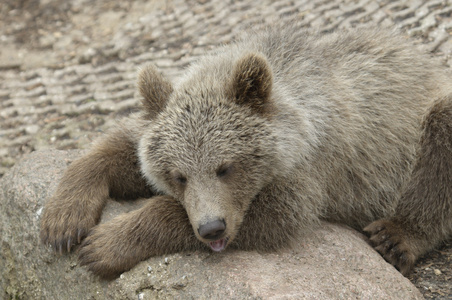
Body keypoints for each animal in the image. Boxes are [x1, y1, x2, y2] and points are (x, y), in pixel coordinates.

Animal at [39, 24, 452, 278]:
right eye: (178, 175)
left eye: (226, 167)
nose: (211, 228)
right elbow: (119, 152)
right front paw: (63, 221)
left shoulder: (314, 168)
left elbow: (273, 216)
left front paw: (104, 245)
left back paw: (395, 236)